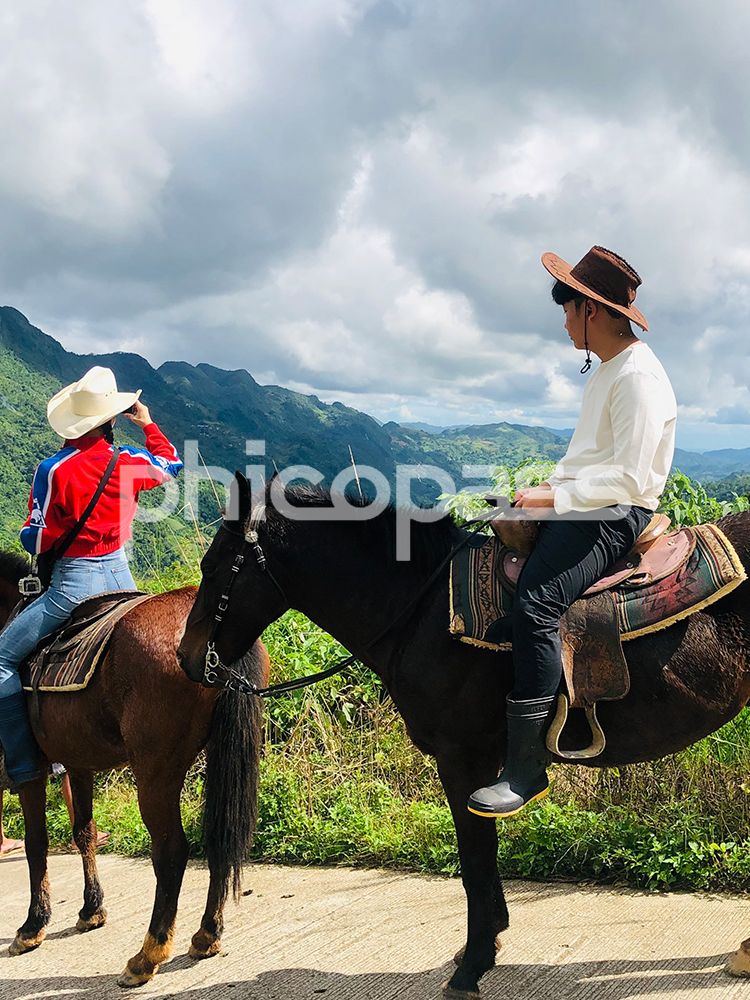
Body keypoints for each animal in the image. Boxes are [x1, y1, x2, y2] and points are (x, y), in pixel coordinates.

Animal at [0, 552, 268, 988]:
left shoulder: (31, 770)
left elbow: (37, 843)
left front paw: (32, 926)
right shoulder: (78, 761)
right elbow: (84, 833)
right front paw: (91, 910)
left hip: (156, 771)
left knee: (171, 853)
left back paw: (148, 954)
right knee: (219, 837)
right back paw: (207, 934)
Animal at [178, 478, 750, 1000]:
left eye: (214, 567)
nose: (187, 658)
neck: (421, 608)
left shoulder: (462, 758)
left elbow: (475, 861)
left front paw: (472, 967)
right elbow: (482, 861)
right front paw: (487, 944)